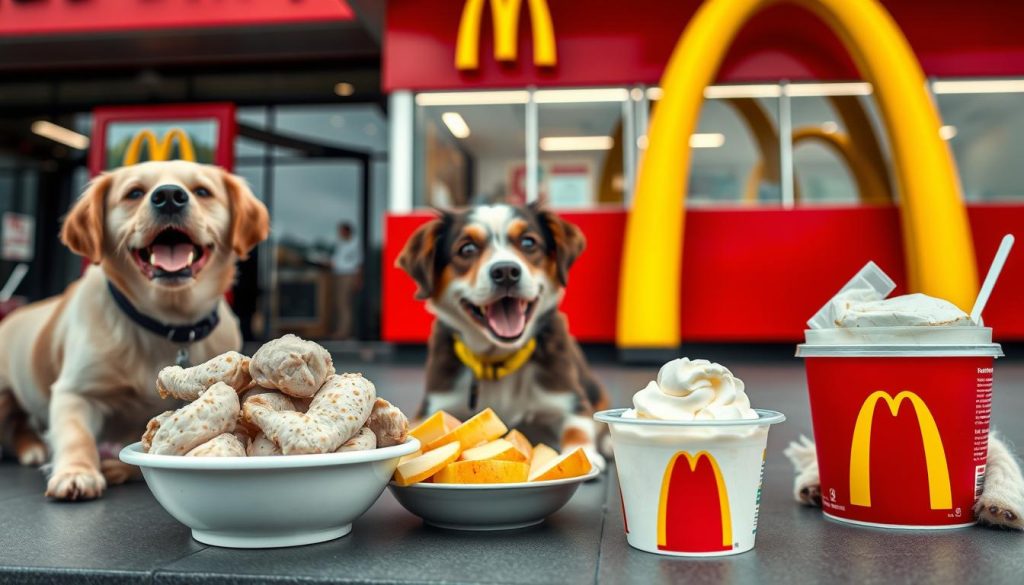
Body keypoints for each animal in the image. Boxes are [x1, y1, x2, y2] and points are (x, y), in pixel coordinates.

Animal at [0, 159, 268, 499]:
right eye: (134, 193)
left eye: (202, 191)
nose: (169, 197)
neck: (168, 325)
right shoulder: (75, 391)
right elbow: (77, 435)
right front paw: (76, 472)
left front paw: (116, 468)